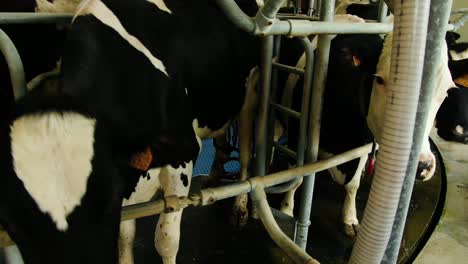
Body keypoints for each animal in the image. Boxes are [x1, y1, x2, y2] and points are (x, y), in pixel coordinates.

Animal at [0, 0, 260, 264]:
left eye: (107, 202)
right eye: (13, 224)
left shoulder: (183, 152)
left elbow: (166, 240)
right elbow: (125, 233)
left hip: (251, 94)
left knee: (246, 155)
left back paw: (240, 207)